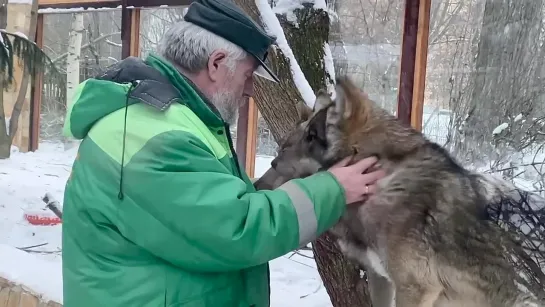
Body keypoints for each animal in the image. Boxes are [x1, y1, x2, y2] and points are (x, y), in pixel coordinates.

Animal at [255, 77, 544, 307]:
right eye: (280, 152)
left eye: (312, 136)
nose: (256, 186)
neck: (383, 181)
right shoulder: (382, 280)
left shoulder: (415, 288)